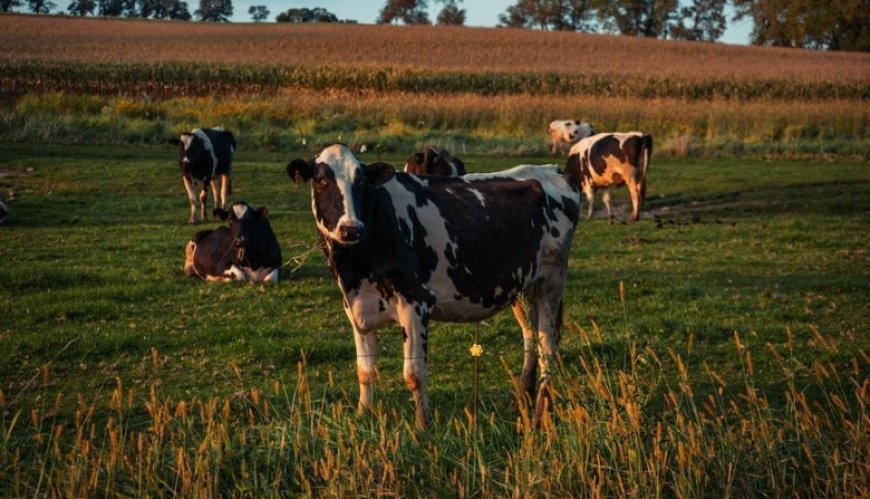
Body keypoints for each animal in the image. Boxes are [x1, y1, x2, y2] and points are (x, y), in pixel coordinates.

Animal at [288, 145, 584, 430]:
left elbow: (414, 375)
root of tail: (553, 170)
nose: (351, 228)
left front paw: (423, 426)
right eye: (321, 180)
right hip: (524, 287)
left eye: (360, 182)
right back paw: (522, 399)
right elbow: (365, 370)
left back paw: (539, 415)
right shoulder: (357, 309)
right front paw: (363, 415)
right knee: (530, 336)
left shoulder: (415, 304)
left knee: (548, 347)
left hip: (551, 281)